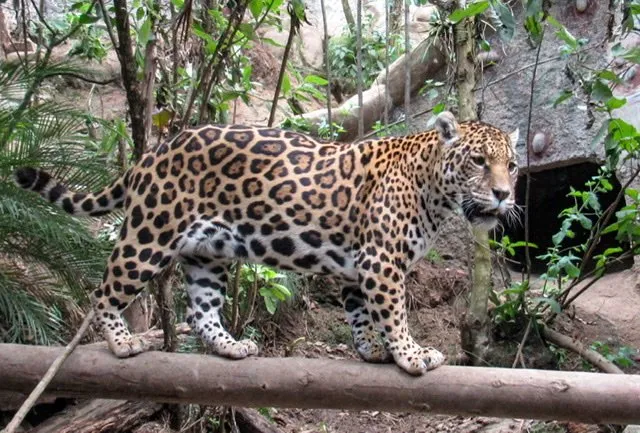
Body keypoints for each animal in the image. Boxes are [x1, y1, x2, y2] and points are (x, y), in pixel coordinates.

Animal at [14, 111, 519, 376]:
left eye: (511, 165)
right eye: (478, 161)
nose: (503, 194)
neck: (433, 188)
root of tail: (153, 151)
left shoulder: (359, 269)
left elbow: (360, 313)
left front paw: (371, 350)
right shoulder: (381, 263)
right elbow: (394, 314)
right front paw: (412, 355)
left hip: (207, 253)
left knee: (200, 311)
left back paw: (230, 347)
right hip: (150, 235)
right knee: (104, 291)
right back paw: (122, 343)